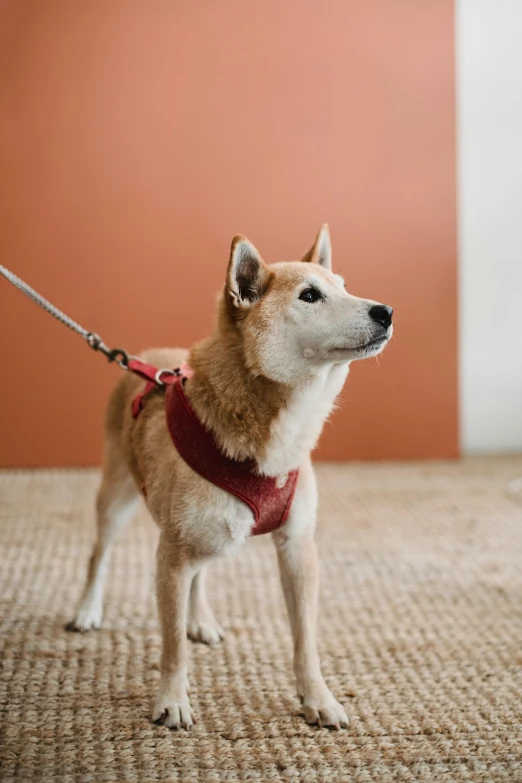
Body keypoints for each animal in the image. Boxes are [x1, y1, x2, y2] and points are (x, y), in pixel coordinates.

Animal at [67, 228, 390, 736]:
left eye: (344, 286)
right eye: (310, 296)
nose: (386, 311)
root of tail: (148, 359)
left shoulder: (298, 550)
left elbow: (306, 642)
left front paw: (317, 698)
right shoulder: (170, 556)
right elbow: (172, 647)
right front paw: (172, 701)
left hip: (208, 531)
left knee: (202, 572)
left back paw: (200, 619)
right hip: (118, 498)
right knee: (99, 556)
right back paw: (87, 610)